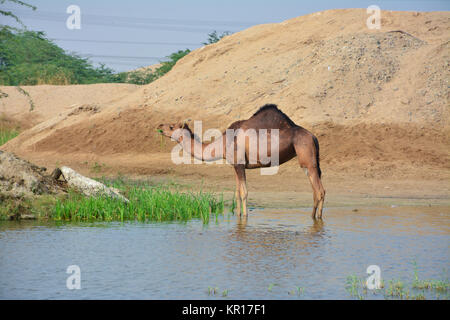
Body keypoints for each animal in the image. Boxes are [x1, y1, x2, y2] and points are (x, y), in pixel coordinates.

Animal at [156, 104, 326, 219]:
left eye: (171, 126)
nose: (159, 126)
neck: (223, 143)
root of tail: (314, 137)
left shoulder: (239, 164)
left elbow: (244, 192)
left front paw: (244, 217)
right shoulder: (235, 166)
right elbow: (237, 192)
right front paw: (237, 216)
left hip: (307, 159)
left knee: (319, 191)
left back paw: (315, 218)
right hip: (313, 161)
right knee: (318, 190)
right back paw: (315, 216)